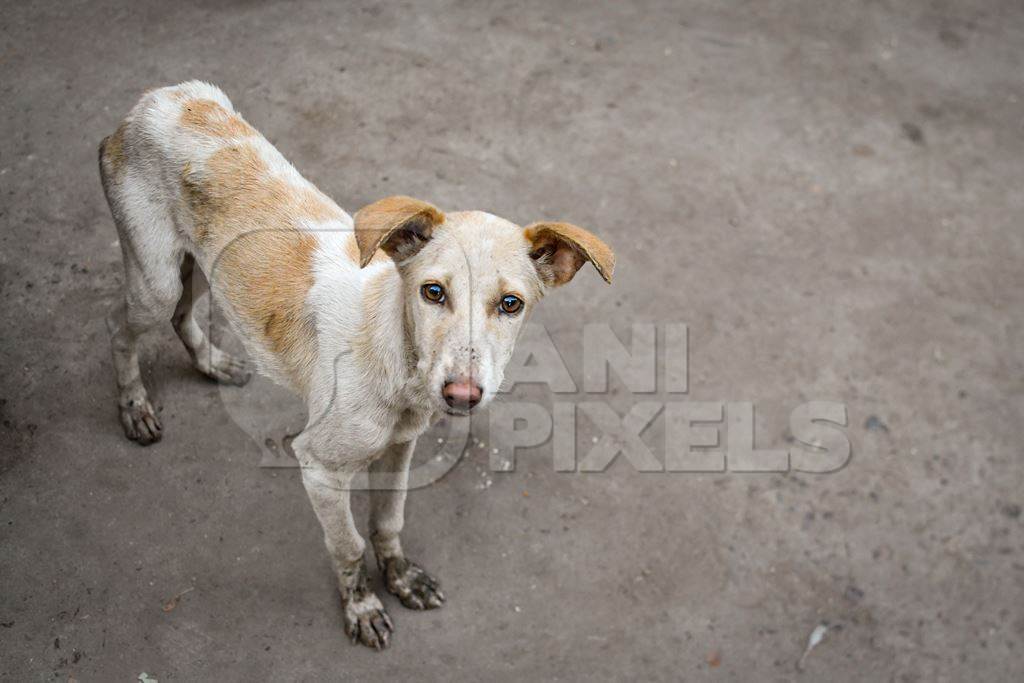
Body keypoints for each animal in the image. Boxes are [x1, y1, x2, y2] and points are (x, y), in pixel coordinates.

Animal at [97, 82, 614, 651]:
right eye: (433, 292)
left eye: (511, 304)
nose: (461, 395)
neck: (394, 353)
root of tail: (159, 98)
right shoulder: (319, 467)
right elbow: (346, 545)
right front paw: (362, 606)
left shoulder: (400, 448)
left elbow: (388, 522)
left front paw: (401, 578)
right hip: (156, 277)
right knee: (120, 329)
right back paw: (134, 406)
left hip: (197, 267)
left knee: (180, 314)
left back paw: (210, 362)